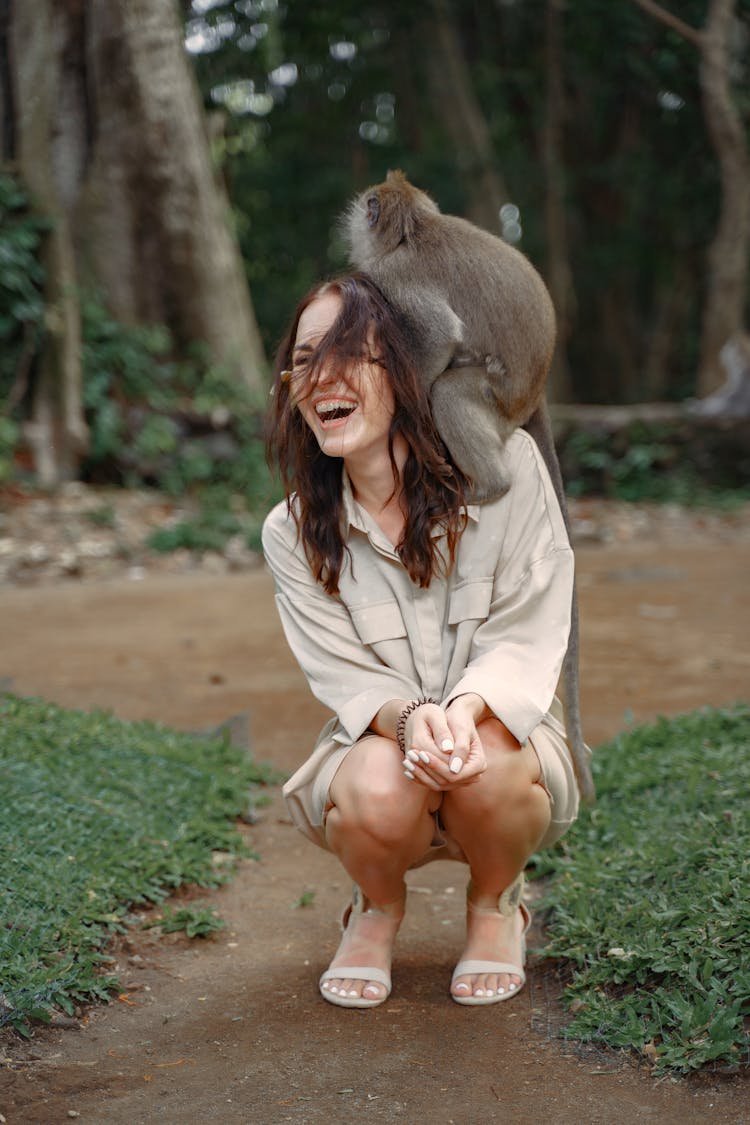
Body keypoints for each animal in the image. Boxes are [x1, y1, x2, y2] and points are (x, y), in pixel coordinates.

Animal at [344, 166, 593, 805]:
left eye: (368, 207)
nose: (356, 215)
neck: (415, 230)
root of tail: (534, 392)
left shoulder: (393, 280)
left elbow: (436, 340)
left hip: (492, 394)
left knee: (450, 390)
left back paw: (487, 486)